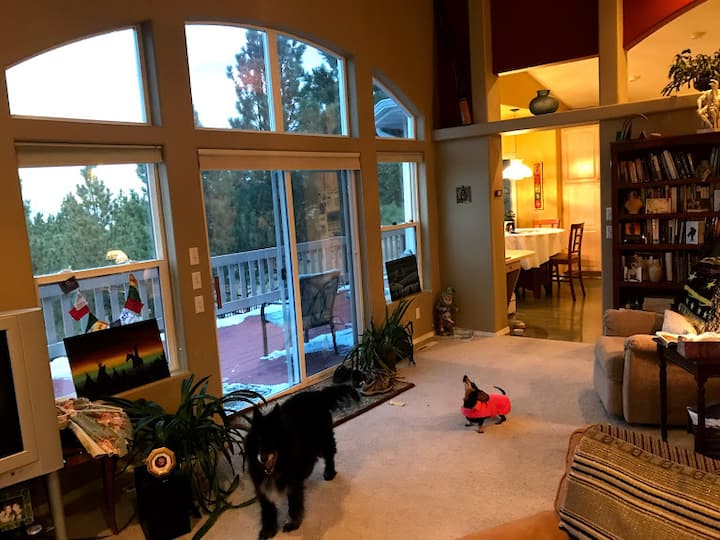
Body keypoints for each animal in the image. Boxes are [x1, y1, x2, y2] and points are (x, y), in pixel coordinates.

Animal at [245, 384, 359, 539]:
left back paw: (329, 472)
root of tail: (319, 394)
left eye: (273, 439)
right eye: (258, 439)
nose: (262, 457)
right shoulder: (261, 486)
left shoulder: (292, 482)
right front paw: (268, 530)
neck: (278, 465)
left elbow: (294, 504)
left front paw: (293, 523)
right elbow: (267, 509)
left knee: (330, 454)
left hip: (323, 440)